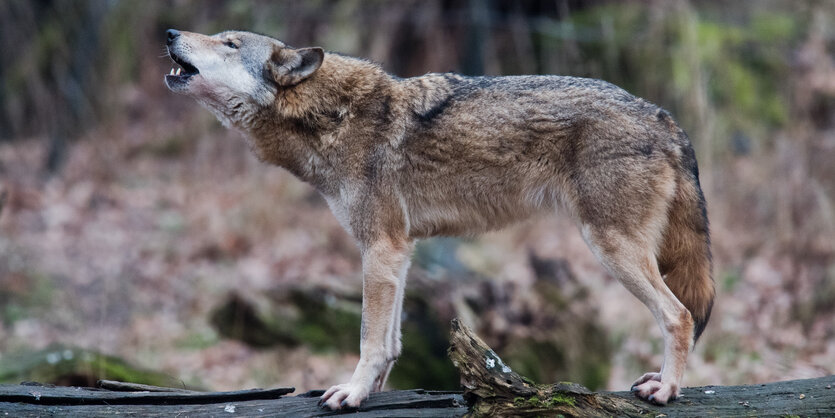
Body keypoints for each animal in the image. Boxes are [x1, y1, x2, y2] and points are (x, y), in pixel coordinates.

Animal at [165, 28, 720, 408]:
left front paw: (353, 393)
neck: (331, 116)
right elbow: (390, 342)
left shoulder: (381, 247)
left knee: (679, 316)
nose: (170, 33)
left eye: (229, 43)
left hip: (611, 248)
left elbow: (369, 338)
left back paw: (668, 389)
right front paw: (374, 393)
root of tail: (663, 116)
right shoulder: (398, 250)